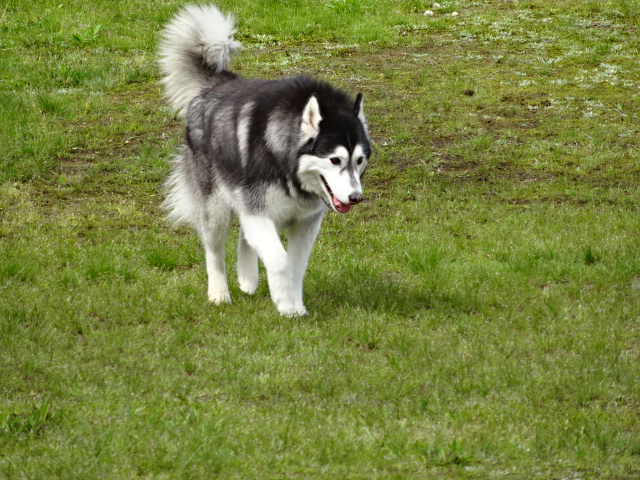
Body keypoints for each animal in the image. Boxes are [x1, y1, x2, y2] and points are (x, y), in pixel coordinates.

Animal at [157, 5, 372, 316]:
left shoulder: (304, 222)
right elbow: (280, 260)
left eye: (359, 160)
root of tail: (219, 84)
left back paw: (247, 278)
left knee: (245, 237)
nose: (356, 198)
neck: (286, 166)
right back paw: (219, 293)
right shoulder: (258, 212)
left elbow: (295, 265)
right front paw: (284, 304)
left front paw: (295, 304)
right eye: (334, 160)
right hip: (216, 207)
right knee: (214, 249)